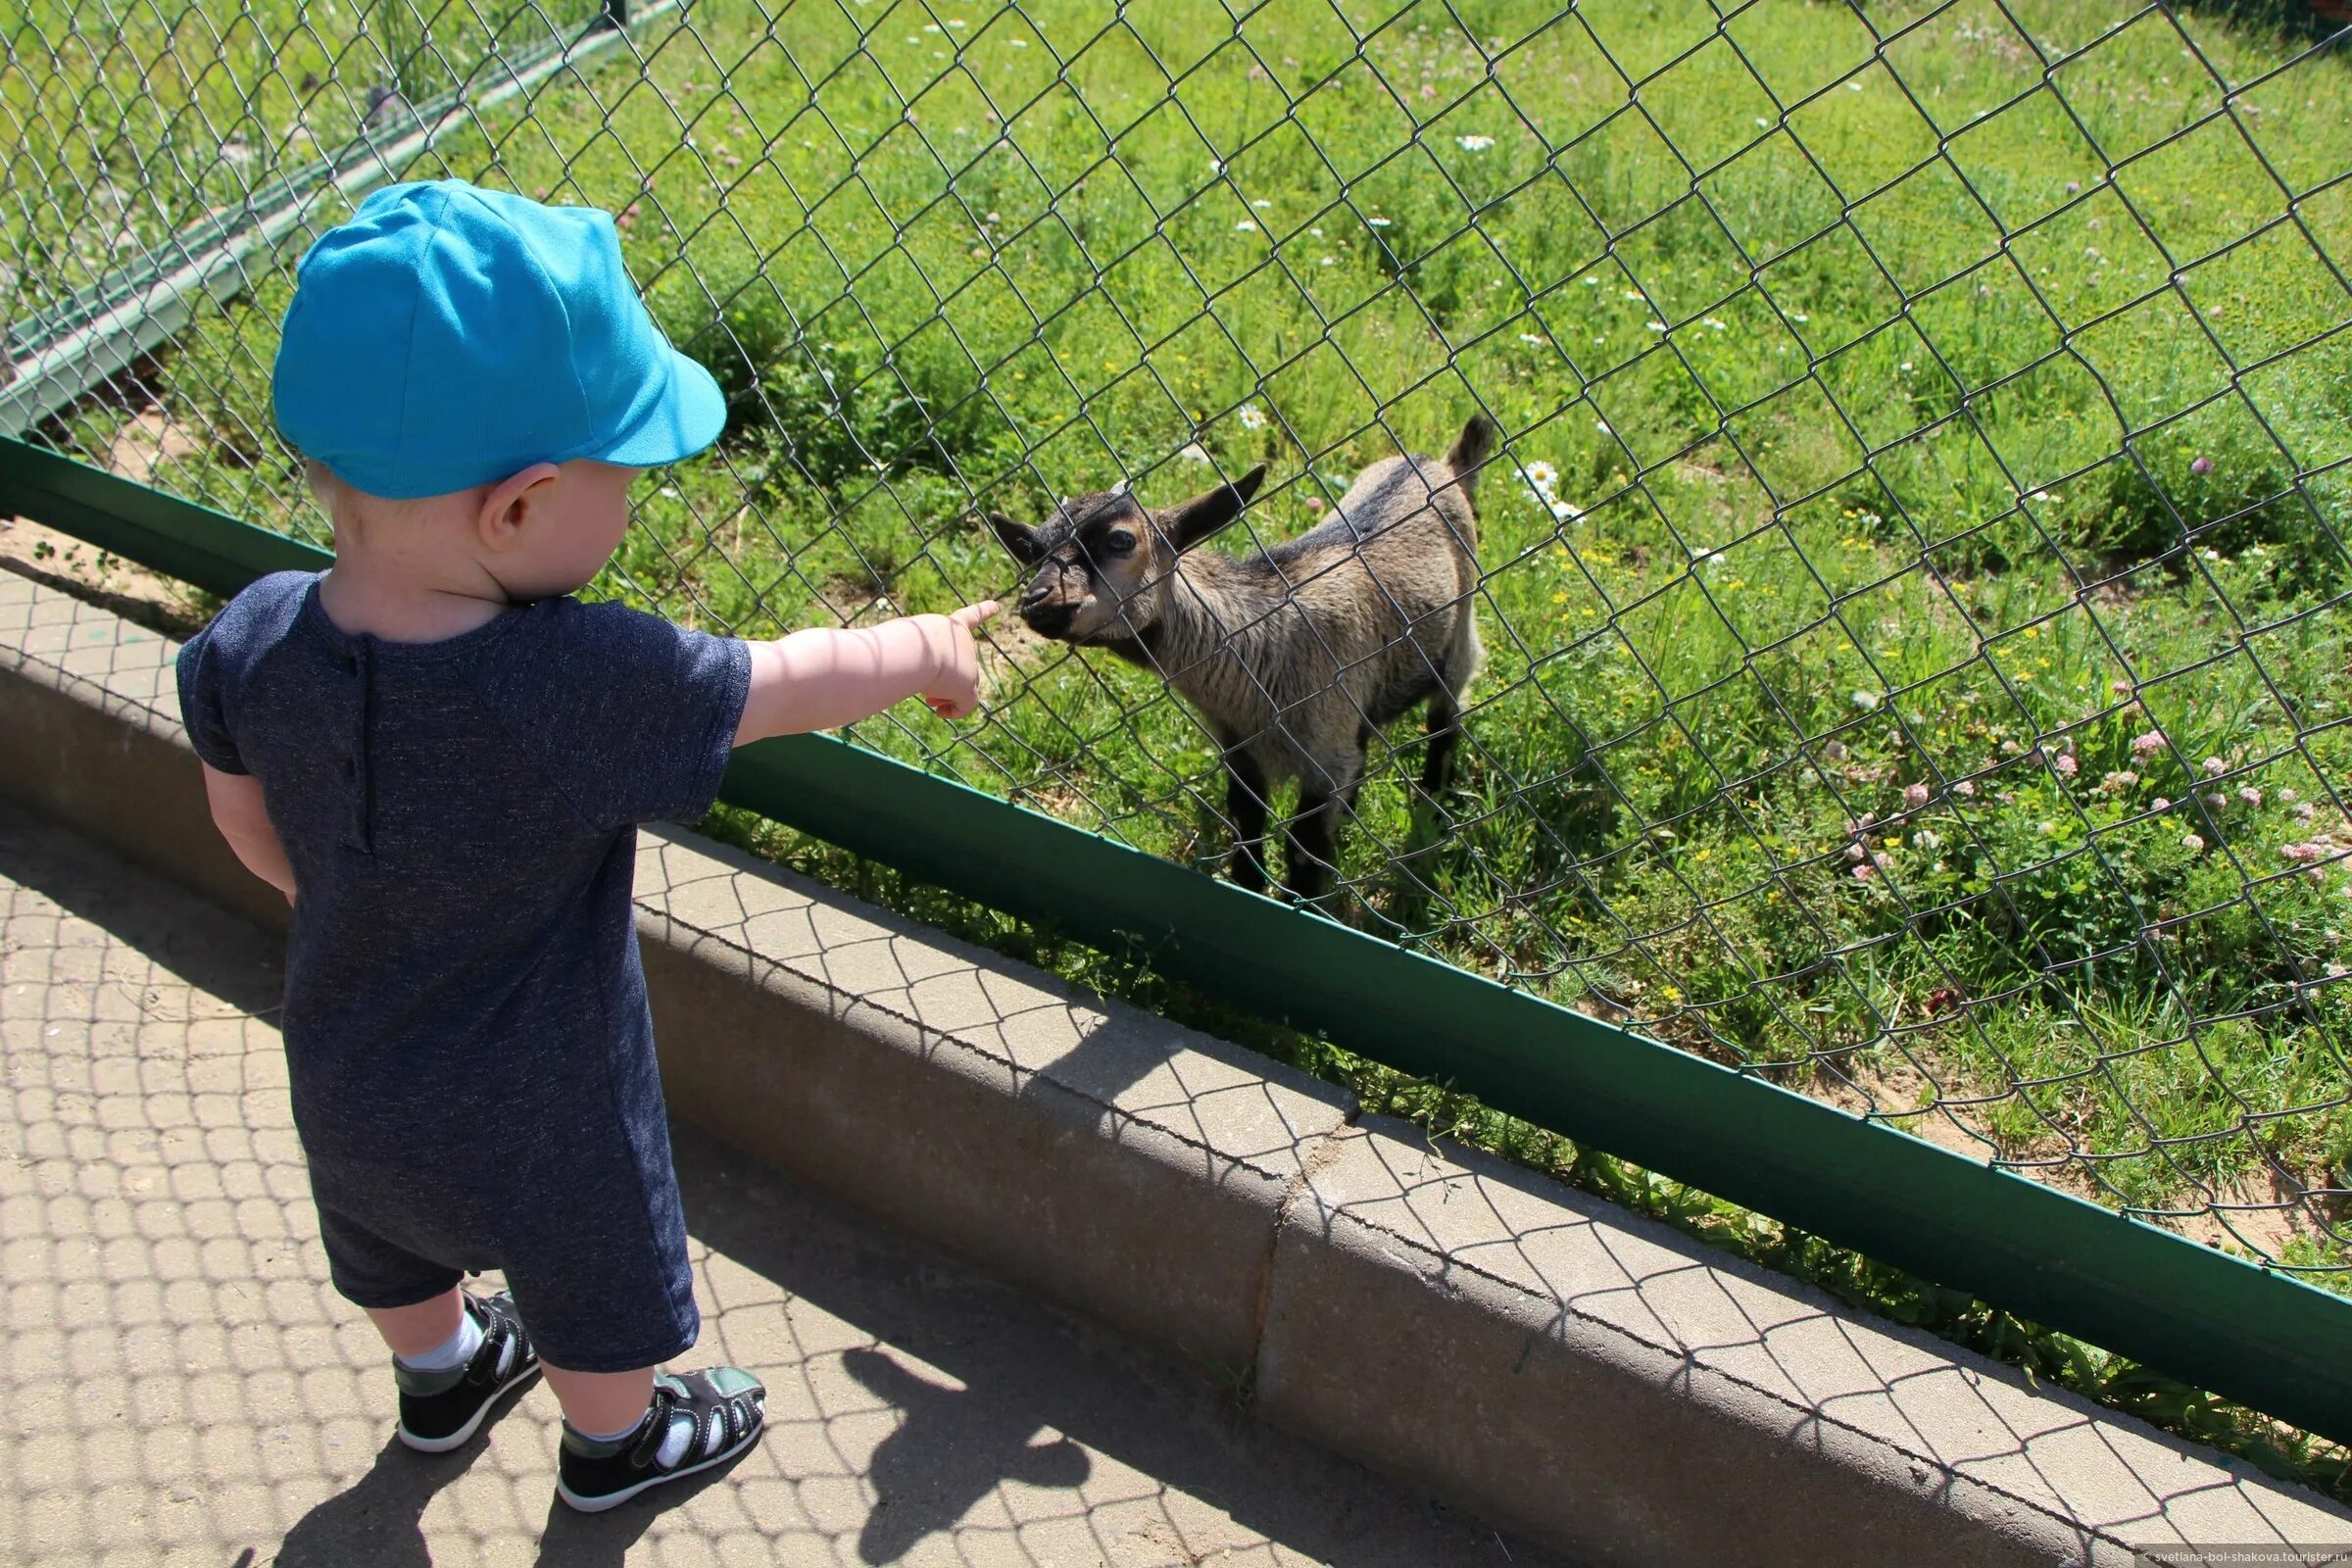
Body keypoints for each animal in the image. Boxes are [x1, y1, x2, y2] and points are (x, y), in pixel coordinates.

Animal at [997, 416, 1486, 903]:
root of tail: (1438, 463)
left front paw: (1300, 904)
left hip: (1460, 631)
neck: (1261, 647)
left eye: (1120, 540)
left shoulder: (1325, 753)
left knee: (1447, 715)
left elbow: (1304, 849)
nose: (1035, 600)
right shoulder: (1240, 746)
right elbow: (1246, 824)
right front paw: (1250, 886)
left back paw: (1434, 805)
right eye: (1034, 550)